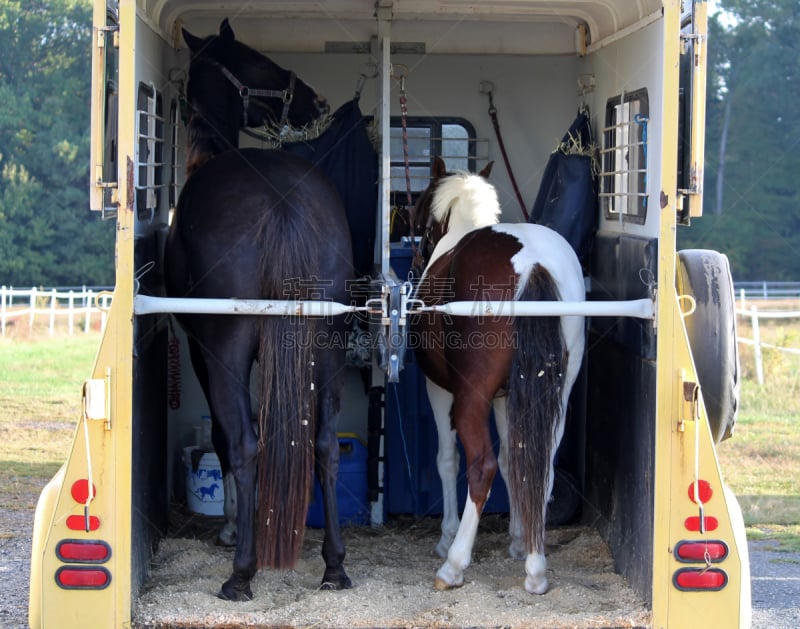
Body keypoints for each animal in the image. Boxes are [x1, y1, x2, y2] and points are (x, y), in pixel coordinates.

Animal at [165, 18, 354, 600]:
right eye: (263, 62)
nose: (317, 101)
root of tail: (281, 200)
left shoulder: (203, 352)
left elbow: (226, 441)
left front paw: (230, 528)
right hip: (328, 347)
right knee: (324, 445)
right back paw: (335, 566)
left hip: (227, 350)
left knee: (246, 444)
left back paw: (242, 572)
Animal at [410, 157, 584, 592]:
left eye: (417, 211)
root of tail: (531, 263)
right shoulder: (509, 397)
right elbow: (513, 461)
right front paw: (519, 540)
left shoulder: (439, 389)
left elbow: (448, 459)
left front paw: (446, 537)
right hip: (554, 395)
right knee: (540, 465)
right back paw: (536, 566)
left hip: (471, 398)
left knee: (481, 466)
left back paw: (454, 565)